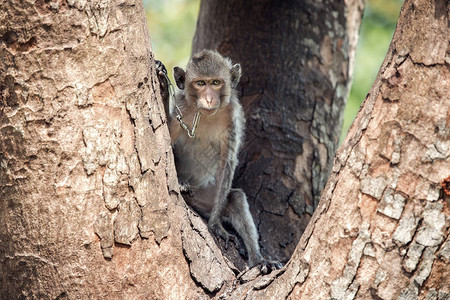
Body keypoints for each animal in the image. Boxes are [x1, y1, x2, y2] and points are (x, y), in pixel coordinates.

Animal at [156, 49, 280, 272]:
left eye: (215, 83)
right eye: (200, 83)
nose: (208, 99)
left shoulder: (232, 116)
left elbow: (226, 163)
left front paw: (215, 226)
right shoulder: (182, 108)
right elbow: (167, 140)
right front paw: (162, 88)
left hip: (208, 197)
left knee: (236, 198)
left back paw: (258, 260)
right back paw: (182, 184)